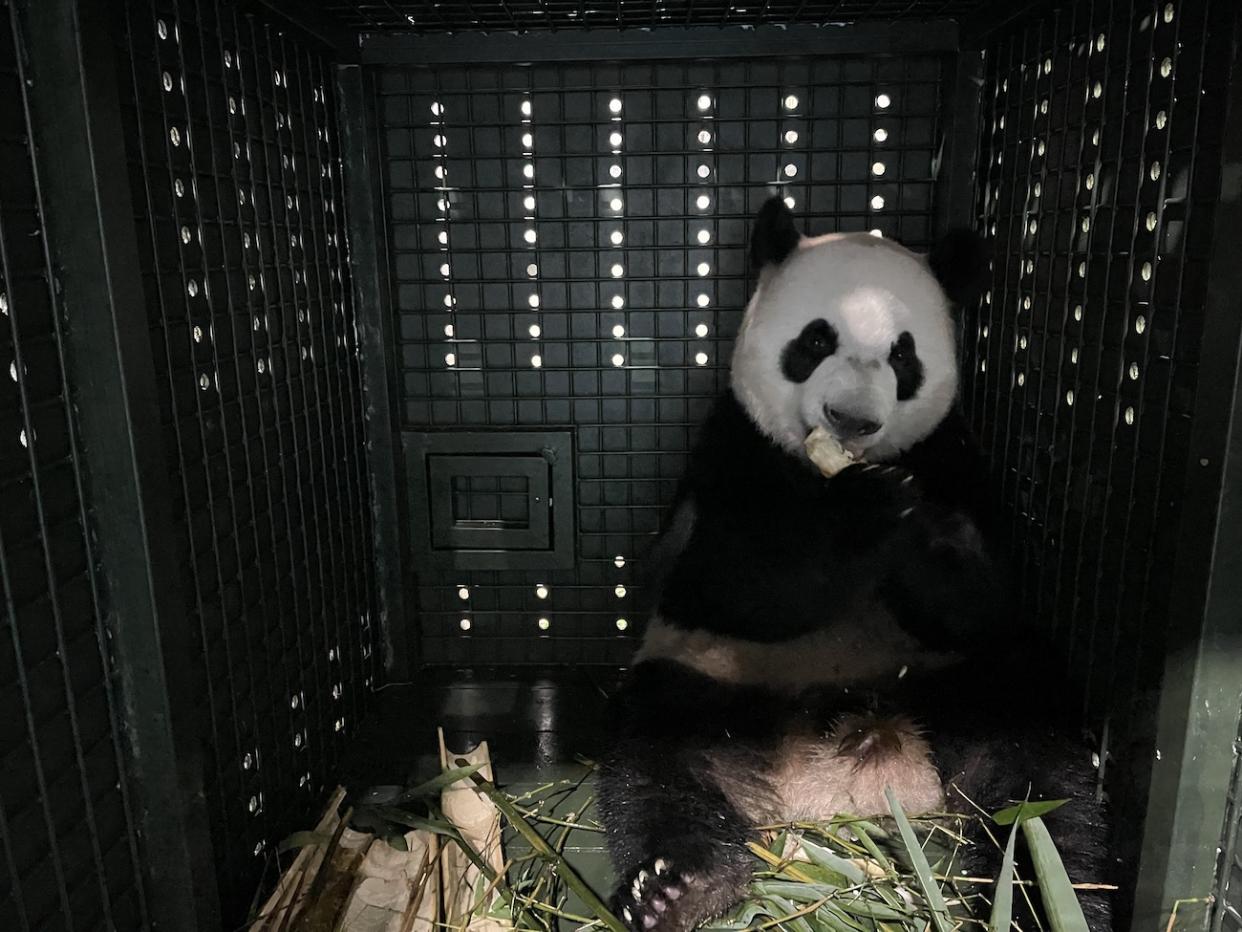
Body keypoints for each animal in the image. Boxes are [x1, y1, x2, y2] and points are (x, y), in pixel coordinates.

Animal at [596, 201, 1112, 932]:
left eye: (903, 354)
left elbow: (986, 598)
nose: (852, 420)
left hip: (958, 686)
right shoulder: (730, 449)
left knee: (1038, 767)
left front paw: (919, 528)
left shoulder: (953, 454)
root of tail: (841, 786)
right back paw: (680, 884)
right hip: (716, 681)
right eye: (815, 340)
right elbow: (714, 582)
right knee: (655, 756)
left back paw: (1042, 890)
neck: (824, 468)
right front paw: (862, 511)